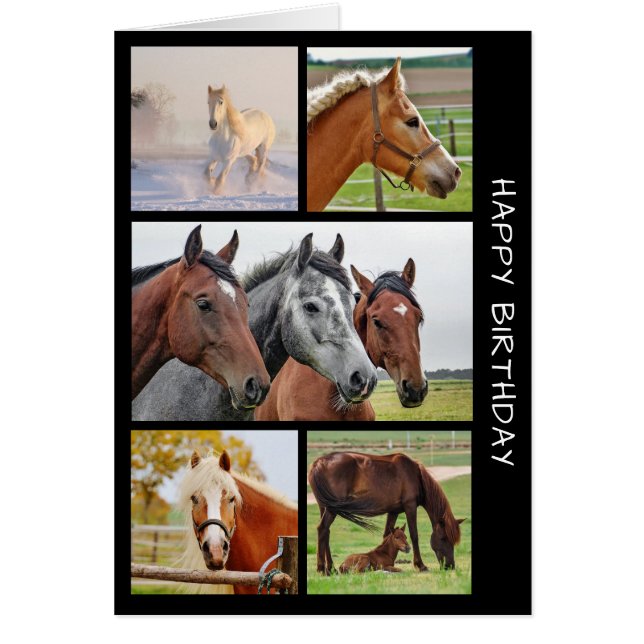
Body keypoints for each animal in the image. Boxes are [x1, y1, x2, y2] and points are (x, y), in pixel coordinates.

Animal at [308, 452, 465, 575]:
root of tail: (318, 463)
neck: (415, 475)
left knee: (326, 533)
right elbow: (414, 535)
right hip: (331, 509)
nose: (450, 566)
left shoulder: (393, 511)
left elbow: (387, 534)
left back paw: (331, 568)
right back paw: (322, 569)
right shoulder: (410, 506)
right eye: (443, 538)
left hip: (325, 507)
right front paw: (420, 565)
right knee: (322, 529)